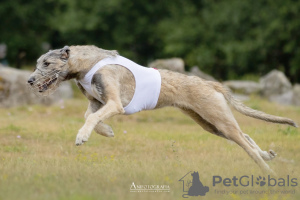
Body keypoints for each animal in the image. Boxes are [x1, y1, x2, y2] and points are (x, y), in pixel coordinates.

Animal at [28, 46, 298, 174]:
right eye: (38, 62)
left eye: (47, 63)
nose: (29, 81)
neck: (87, 64)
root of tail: (210, 83)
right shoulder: (99, 102)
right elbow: (90, 115)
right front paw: (107, 131)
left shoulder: (114, 103)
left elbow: (91, 117)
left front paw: (83, 136)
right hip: (210, 123)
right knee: (245, 135)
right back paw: (266, 155)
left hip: (217, 118)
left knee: (244, 141)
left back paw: (266, 168)